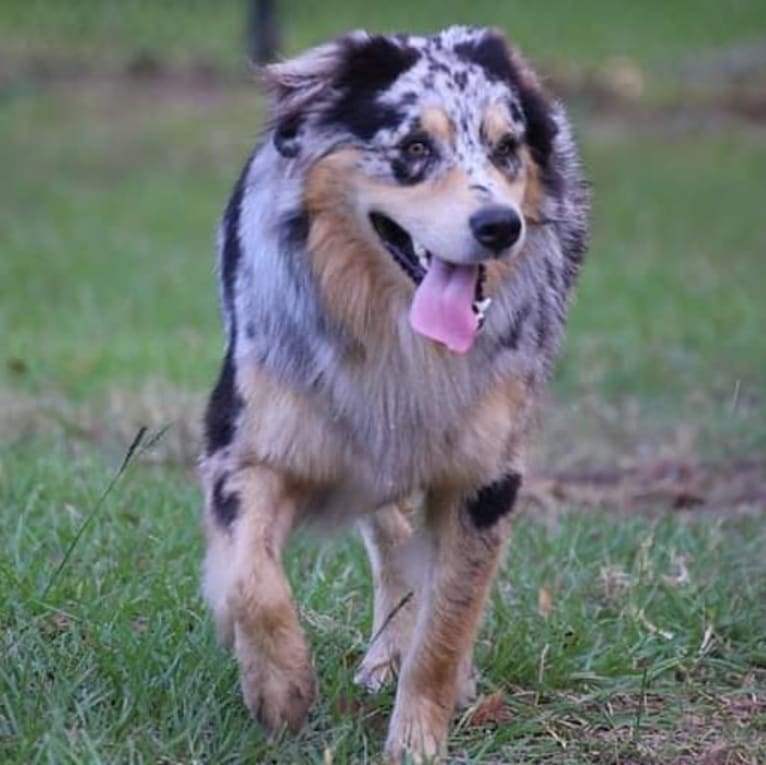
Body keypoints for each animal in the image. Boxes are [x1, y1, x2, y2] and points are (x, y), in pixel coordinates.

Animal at [201, 26, 592, 760]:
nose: (500, 225)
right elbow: (250, 578)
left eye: (506, 148)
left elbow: (447, 624)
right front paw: (280, 688)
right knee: (389, 536)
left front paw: (416, 739)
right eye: (413, 147)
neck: (398, 341)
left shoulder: (486, 478)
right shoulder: (247, 442)